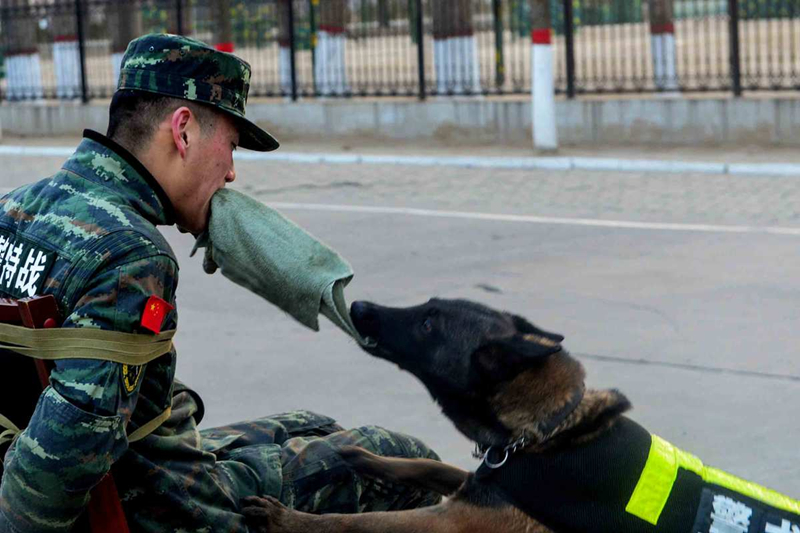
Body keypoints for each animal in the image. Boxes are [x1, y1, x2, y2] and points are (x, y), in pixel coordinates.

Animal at [244, 298, 800, 528]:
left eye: (428, 324)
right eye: (425, 308)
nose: (358, 305)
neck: (548, 432)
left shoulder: (454, 520)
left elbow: (357, 525)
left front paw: (288, 518)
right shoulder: (484, 484)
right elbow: (424, 465)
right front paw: (358, 456)